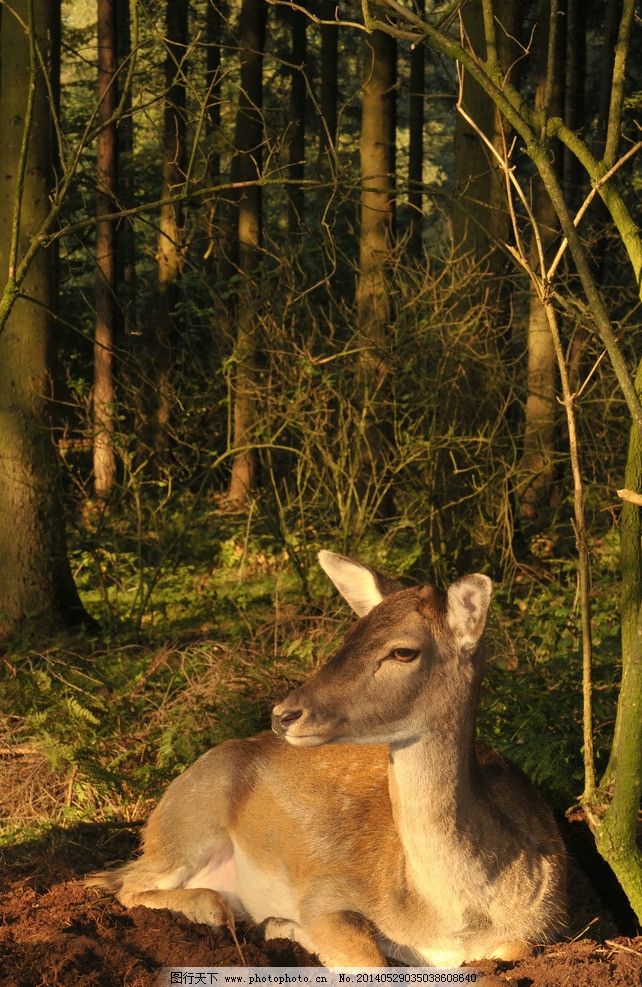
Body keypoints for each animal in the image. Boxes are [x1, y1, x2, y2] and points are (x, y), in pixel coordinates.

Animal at [89, 552, 564, 968]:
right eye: (349, 637)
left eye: (403, 651)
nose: (283, 714)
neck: (452, 918)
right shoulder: (327, 891)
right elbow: (369, 958)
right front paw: (282, 926)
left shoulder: (539, 930)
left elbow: (513, 949)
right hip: (187, 825)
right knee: (128, 884)